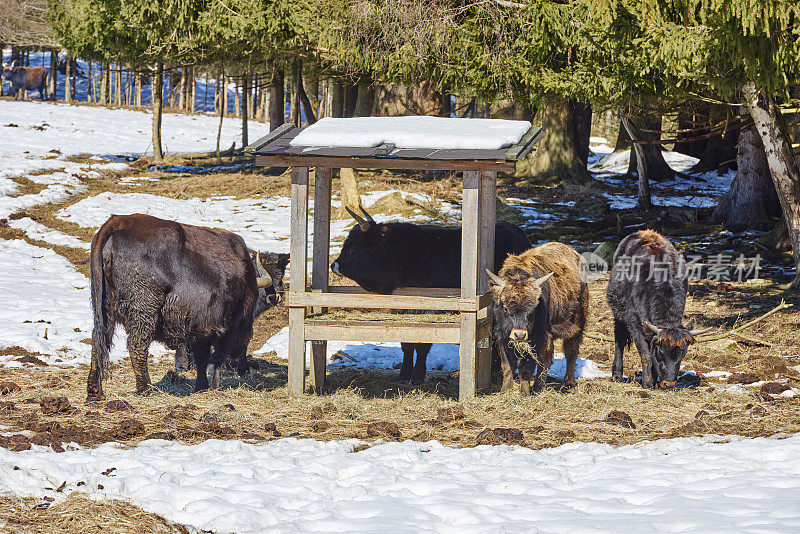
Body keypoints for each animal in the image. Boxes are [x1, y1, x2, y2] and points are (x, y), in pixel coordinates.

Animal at [332, 206, 532, 386]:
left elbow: (422, 344)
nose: (334, 265)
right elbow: (407, 343)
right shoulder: (401, 309)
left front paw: (418, 376)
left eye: (353, 248)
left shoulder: (431, 308)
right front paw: (404, 374)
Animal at [484, 243, 592, 398]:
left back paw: (567, 385)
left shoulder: (537, 338)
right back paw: (539, 386)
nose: (519, 335)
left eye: (533, 309)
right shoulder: (502, 337)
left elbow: (526, 367)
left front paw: (524, 393)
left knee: (571, 352)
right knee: (547, 358)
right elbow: (508, 365)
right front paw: (505, 391)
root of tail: (574, 253)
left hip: (577, 324)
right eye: (505, 307)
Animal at [608, 230, 708, 390]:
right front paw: (648, 382)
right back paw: (617, 375)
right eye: (661, 352)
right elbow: (646, 354)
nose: (669, 384)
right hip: (618, 313)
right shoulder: (636, 324)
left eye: (683, 354)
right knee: (619, 340)